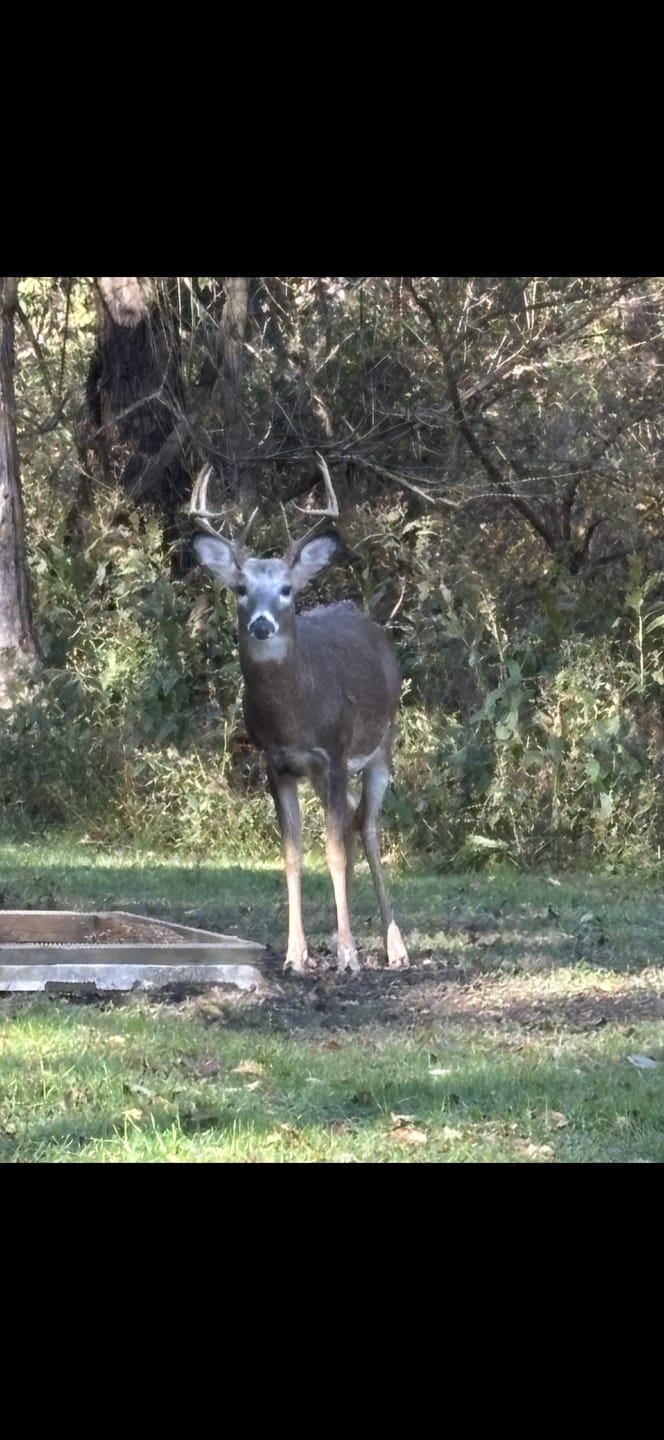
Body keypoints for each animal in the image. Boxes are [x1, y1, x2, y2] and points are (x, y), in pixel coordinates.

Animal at [190, 459, 409, 976]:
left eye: (287, 589)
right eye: (241, 589)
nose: (261, 624)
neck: (294, 714)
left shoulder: (333, 751)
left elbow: (333, 851)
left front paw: (350, 955)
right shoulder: (278, 763)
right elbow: (291, 854)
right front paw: (297, 953)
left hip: (381, 745)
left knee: (367, 829)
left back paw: (394, 945)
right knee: (352, 821)